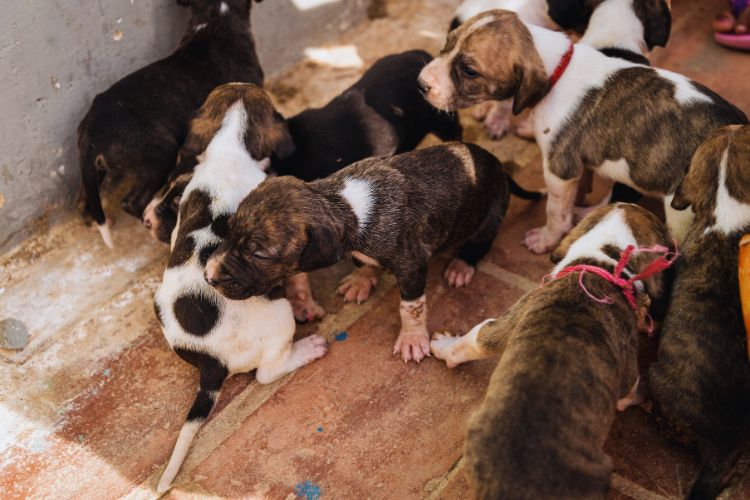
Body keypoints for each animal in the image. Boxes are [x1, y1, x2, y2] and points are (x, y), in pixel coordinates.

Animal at [78, 0, 266, 248]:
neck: (217, 19)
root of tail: (91, 132)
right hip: (159, 154)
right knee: (132, 202)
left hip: (92, 172)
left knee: (84, 200)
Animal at [203, 143, 536, 362]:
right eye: (228, 230)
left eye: (259, 255)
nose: (208, 276)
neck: (342, 202)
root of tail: (500, 167)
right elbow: (363, 262)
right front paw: (361, 279)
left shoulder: (412, 264)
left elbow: (411, 307)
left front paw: (412, 338)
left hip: (488, 218)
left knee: (481, 242)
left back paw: (461, 265)